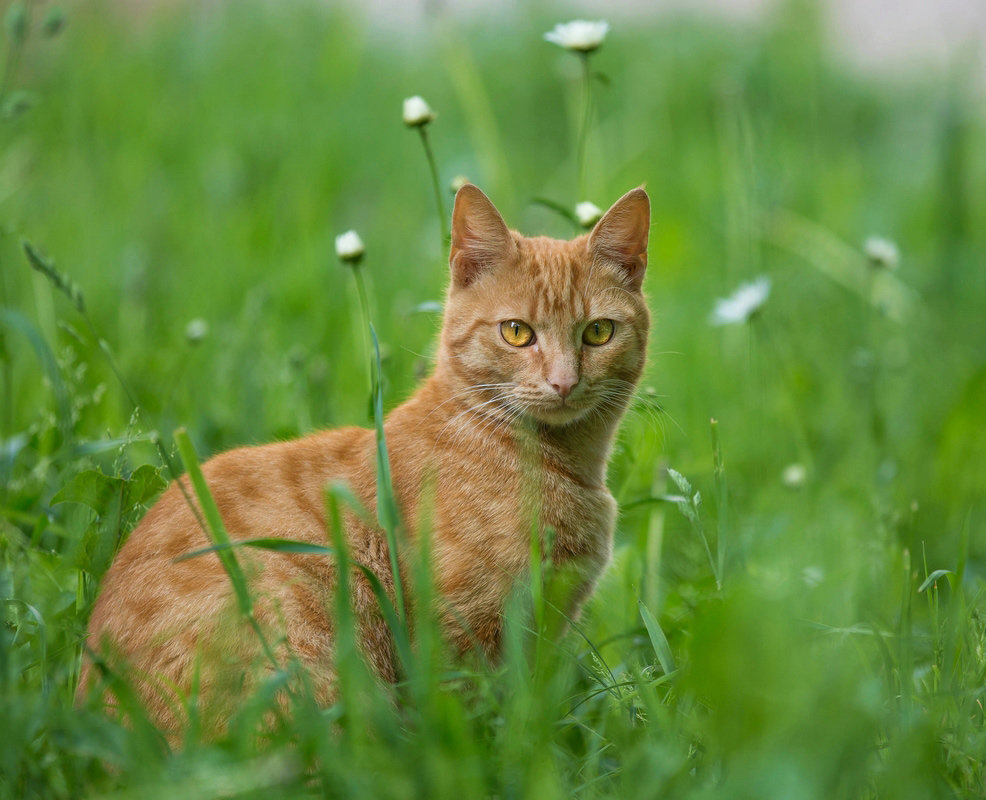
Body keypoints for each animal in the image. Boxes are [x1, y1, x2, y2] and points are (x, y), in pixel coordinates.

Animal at [80, 183, 648, 732]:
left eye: (598, 332)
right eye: (516, 332)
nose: (564, 382)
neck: (554, 462)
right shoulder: (460, 630)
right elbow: (472, 722)